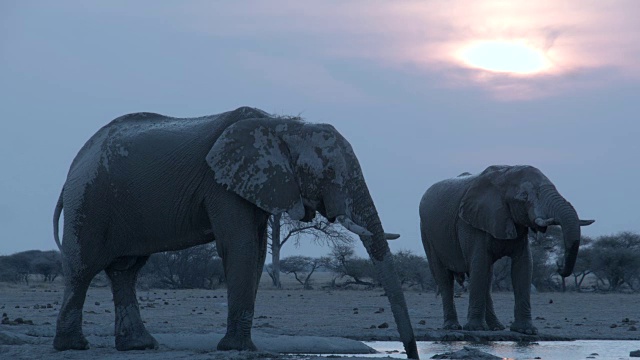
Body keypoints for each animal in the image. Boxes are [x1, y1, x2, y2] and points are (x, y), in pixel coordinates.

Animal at [53, 106, 420, 358]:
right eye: (329, 173)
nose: (412, 354)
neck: (281, 126)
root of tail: (76, 160)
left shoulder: (257, 184)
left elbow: (256, 252)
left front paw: (240, 347)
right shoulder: (222, 185)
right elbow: (240, 248)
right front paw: (235, 349)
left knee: (126, 271)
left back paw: (140, 346)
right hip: (88, 200)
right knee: (83, 267)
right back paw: (73, 346)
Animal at [420, 166, 596, 334]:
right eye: (524, 197)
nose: (560, 269)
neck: (505, 173)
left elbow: (524, 265)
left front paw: (526, 331)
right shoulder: (470, 223)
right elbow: (479, 263)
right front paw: (475, 328)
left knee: (486, 278)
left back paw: (496, 327)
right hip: (428, 234)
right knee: (445, 278)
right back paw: (453, 326)